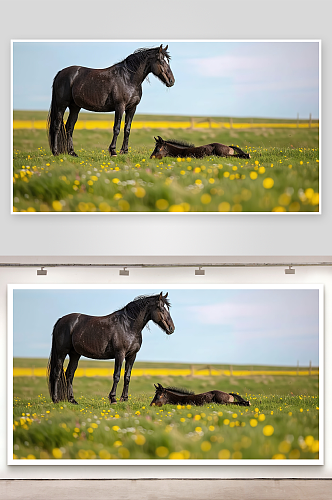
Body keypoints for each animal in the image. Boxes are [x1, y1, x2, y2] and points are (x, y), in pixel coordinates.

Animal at [48, 46, 176, 157]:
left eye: (168, 61)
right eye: (161, 61)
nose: (171, 81)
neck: (128, 78)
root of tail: (61, 73)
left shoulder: (132, 108)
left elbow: (127, 129)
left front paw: (124, 151)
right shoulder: (120, 107)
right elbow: (117, 128)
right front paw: (113, 151)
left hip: (75, 107)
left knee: (69, 126)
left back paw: (72, 152)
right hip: (61, 105)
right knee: (57, 125)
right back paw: (55, 152)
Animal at [48, 294, 176, 404]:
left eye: (168, 309)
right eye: (161, 309)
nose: (171, 328)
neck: (128, 326)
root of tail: (61, 320)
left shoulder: (132, 356)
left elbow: (127, 377)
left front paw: (124, 399)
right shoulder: (120, 354)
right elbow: (117, 375)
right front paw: (113, 398)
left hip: (75, 354)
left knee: (69, 374)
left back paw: (72, 400)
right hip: (61, 352)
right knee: (57, 372)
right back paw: (55, 399)